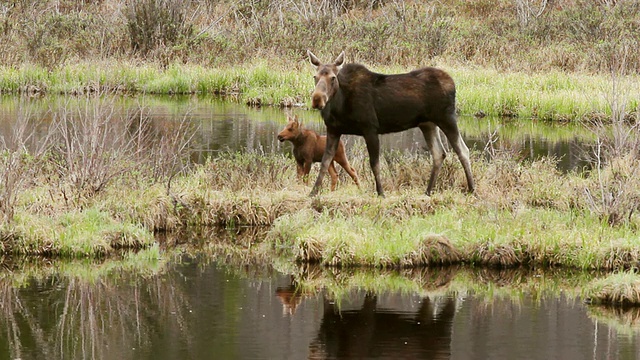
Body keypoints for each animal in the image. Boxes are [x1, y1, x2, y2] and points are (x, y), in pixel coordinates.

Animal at [304, 50, 476, 197]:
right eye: (314, 76)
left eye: (333, 77)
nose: (317, 99)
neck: (339, 105)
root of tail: (453, 83)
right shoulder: (333, 130)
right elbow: (325, 162)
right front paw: (313, 192)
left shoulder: (370, 129)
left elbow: (374, 164)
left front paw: (380, 193)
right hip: (427, 124)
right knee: (439, 153)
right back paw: (428, 192)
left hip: (446, 117)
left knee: (463, 150)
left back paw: (472, 189)